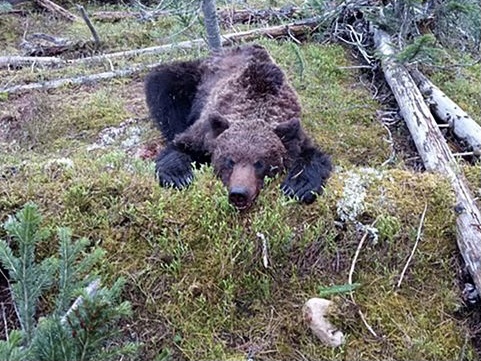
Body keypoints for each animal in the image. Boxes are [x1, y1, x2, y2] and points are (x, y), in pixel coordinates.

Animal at [143, 43, 330, 210]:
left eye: (260, 163)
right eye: (230, 160)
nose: (239, 193)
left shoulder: (293, 131)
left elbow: (314, 156)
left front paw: (298, 186)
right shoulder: (206, 130)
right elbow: (180, 146)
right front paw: (179, 176)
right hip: (194, 78)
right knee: (164, 83)